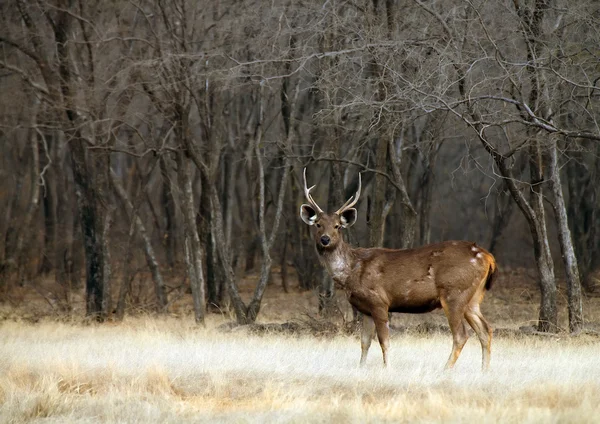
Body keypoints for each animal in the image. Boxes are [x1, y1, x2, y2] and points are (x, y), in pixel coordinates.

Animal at [300, 169, 496, 372]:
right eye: (318, 224)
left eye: (337, 226)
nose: (325, 239)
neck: (351, 272)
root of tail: (488, 257)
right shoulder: (365, 309)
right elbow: (364, 342)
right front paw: (361, 368)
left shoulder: (379, 301)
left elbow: (383, 341)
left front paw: (387, 368)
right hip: (473, 298)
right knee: (485, 330)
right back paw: (484, 371)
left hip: (454, 292)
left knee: (461, 335)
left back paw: (445, 370)